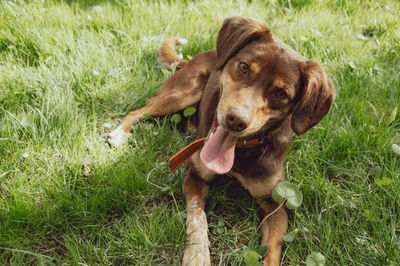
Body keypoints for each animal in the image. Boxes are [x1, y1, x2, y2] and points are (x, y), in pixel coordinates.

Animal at [108, 16, 334, 264]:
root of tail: (193, 58)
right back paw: (119, 133)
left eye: (281, 94)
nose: (236, 120)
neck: (241, 151)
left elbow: (273, 247)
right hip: (184, 93)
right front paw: (197, 256)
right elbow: (197, 217)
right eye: (244, 67)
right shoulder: (194, 174)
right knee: (139, 111)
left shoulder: (276, 202)